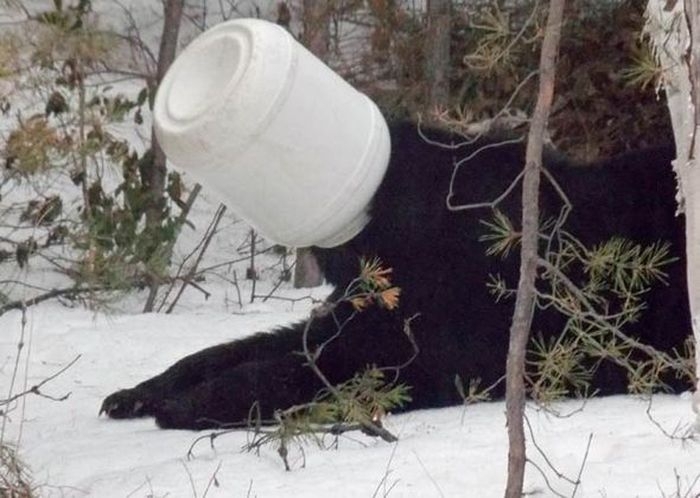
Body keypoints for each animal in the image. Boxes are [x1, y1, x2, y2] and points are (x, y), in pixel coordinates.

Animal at [101, 120, 692, 428]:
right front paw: (140, 392)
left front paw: (190, 404)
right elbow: (240, 348)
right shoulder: (363, 310)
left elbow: (318, 368)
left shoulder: (453, 336)